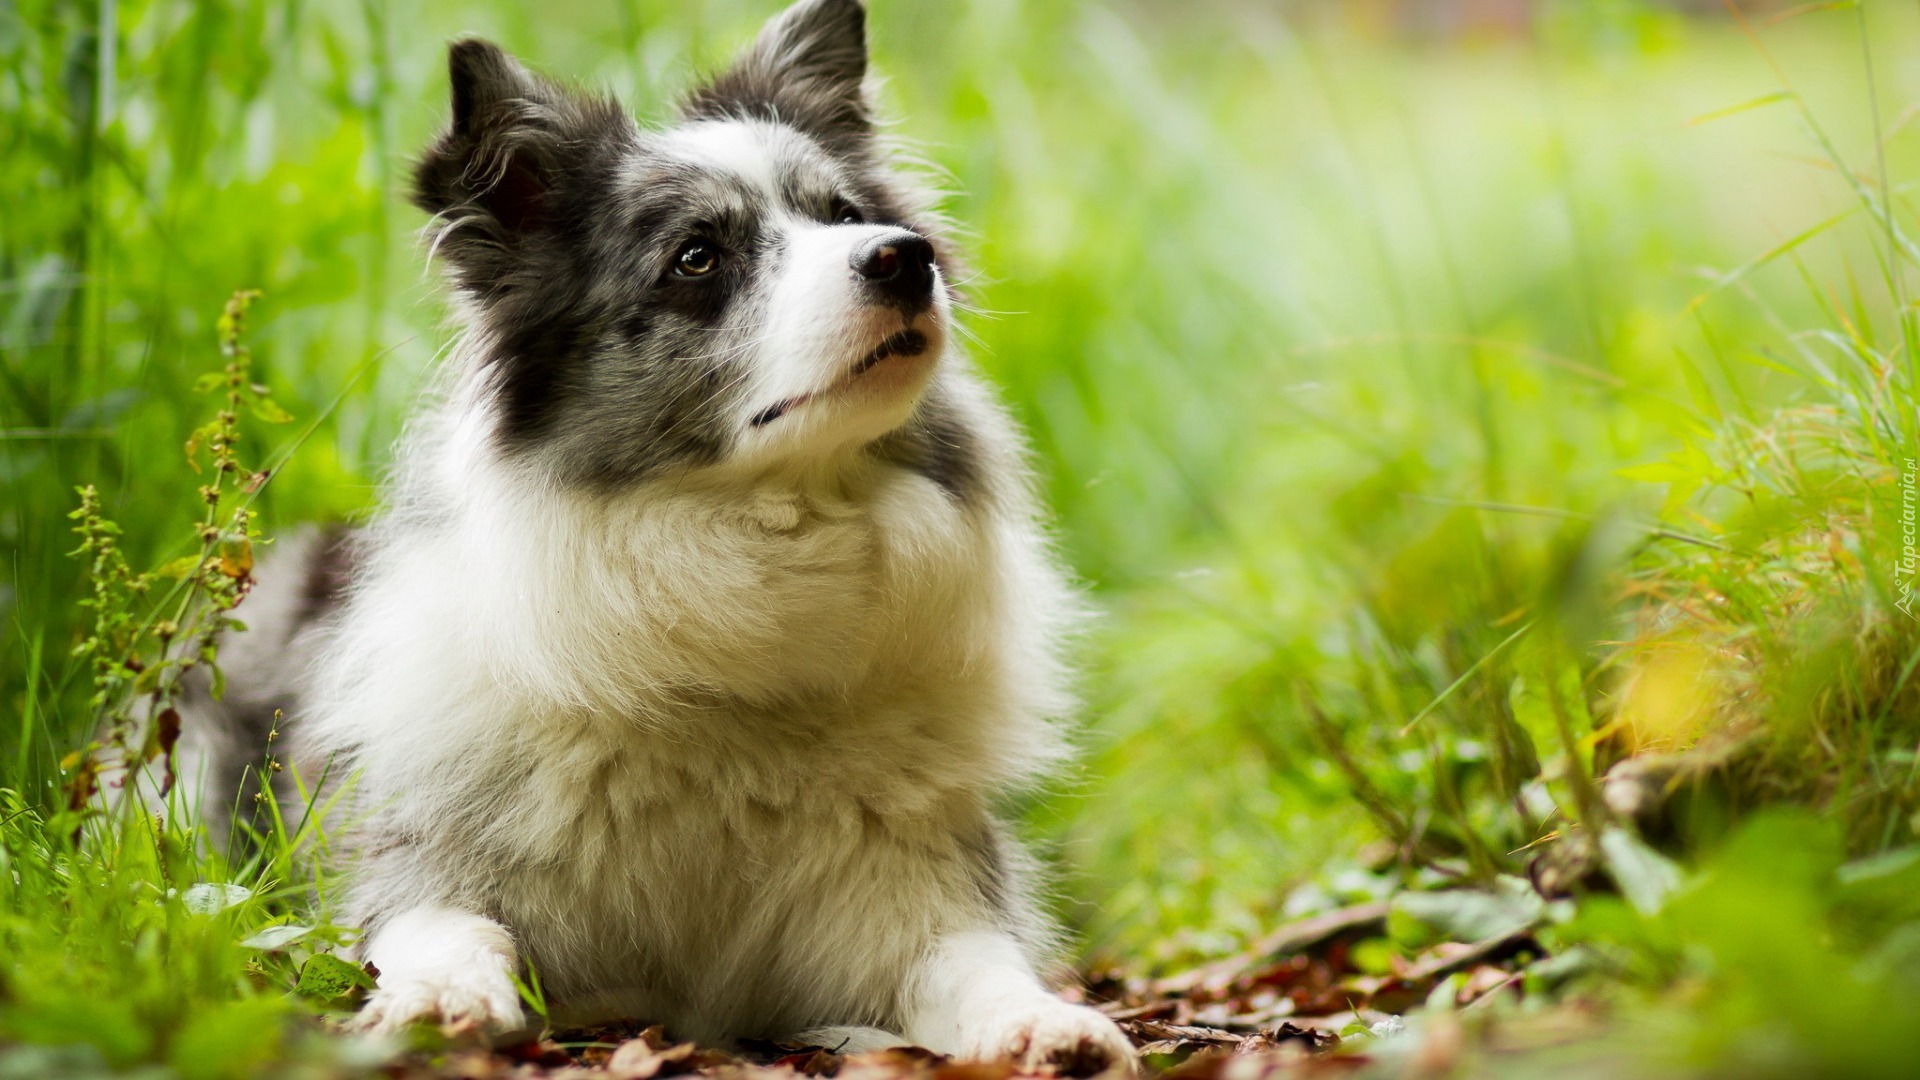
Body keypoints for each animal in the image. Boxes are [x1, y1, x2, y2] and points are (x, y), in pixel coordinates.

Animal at [181, 0, 1128, 1068]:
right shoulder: (415, 856)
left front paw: (1045, 1022)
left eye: (845, 216)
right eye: (697, 257)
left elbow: (974, 964)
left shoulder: (911, 884)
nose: (903, 257)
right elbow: (443, 928)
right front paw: (439, 998)